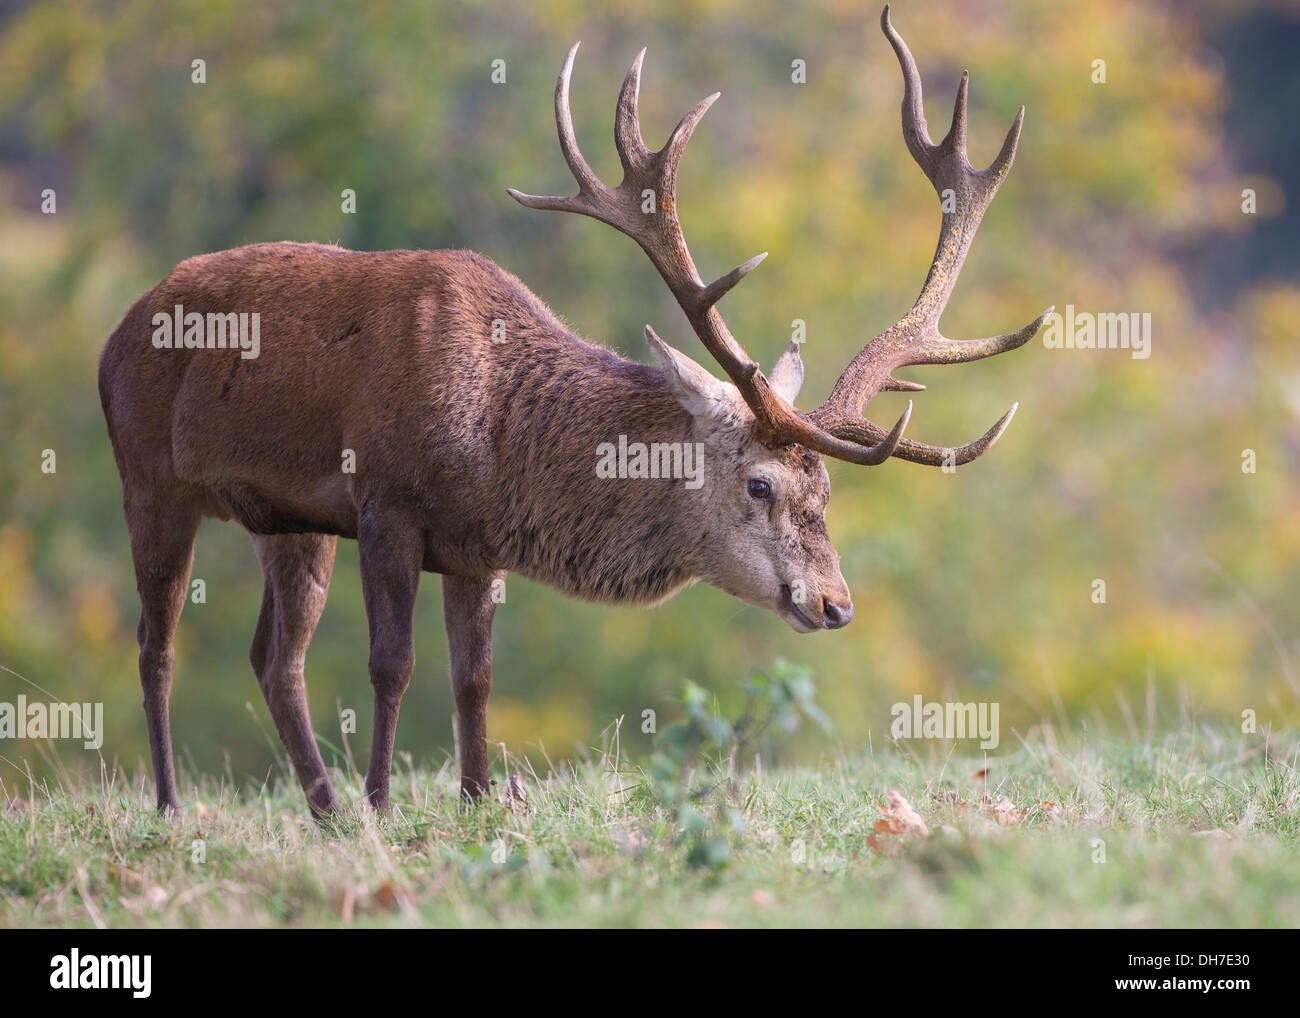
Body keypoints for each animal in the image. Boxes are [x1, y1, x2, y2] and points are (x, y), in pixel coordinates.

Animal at [98, 7, 1048, 819]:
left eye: (827, 492)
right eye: (759, 485)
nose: (835, 604)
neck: (497, 442)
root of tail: (114, 335)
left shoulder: (474, 548)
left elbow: (474, 679)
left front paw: (474, 800)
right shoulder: (385, 502)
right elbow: (392, 663)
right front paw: (383, 806)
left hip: (286, 521)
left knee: (273, 657)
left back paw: (321, 807)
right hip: (149, 477)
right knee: (156, 642)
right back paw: (177, 803)